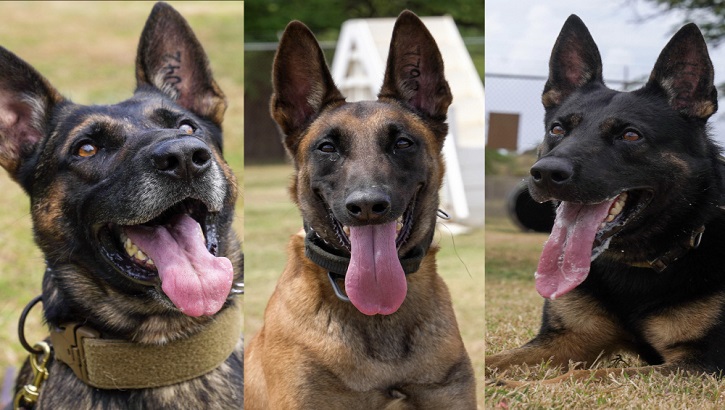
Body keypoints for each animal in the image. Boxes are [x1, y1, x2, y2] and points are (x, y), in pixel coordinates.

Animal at [484, 13, 725, 384]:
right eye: (557, 129)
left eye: (630, 135)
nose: (546, 173)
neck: (638, 266)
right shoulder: (569, 339)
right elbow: (492, 359)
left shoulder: (699, 364)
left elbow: (585, 377)